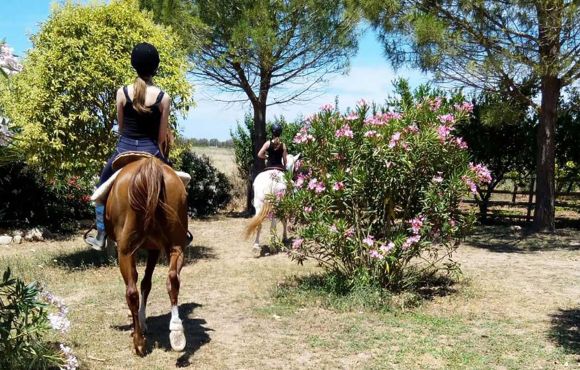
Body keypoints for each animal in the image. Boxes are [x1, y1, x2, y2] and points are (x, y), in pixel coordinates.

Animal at [104, 154, 186, 356]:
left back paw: (139, 342)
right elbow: (146, 283)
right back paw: (177, 333)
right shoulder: (155, 249)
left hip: (124, 252)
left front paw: (140, 324)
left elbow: (138, 282)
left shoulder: (135, 251)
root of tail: (149, 167)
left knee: (131, 292)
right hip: (176, 246)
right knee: (173, 278)